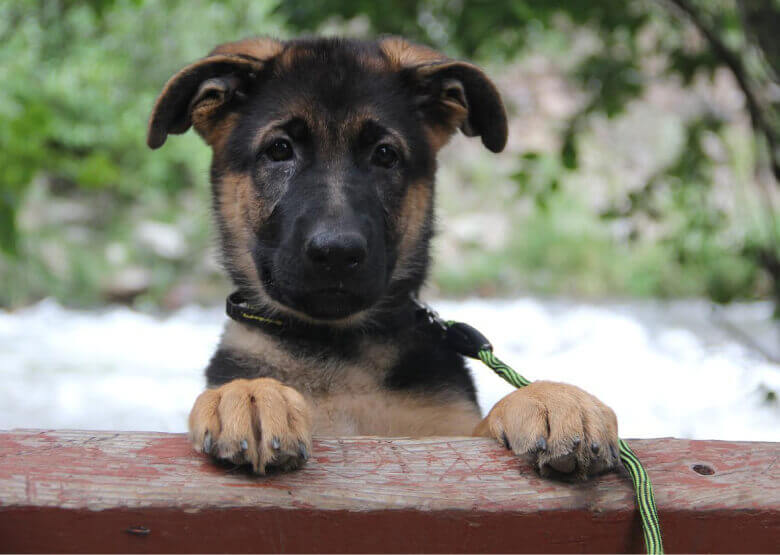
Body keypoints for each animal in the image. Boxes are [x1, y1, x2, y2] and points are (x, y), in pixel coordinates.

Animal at [149, 37, 620, 482]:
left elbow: (482, 426)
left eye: (385, 154)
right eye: (279, 150)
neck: (335, 347)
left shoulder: (445, 437)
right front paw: (249, 394)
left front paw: (549, 398)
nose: (337, 253)